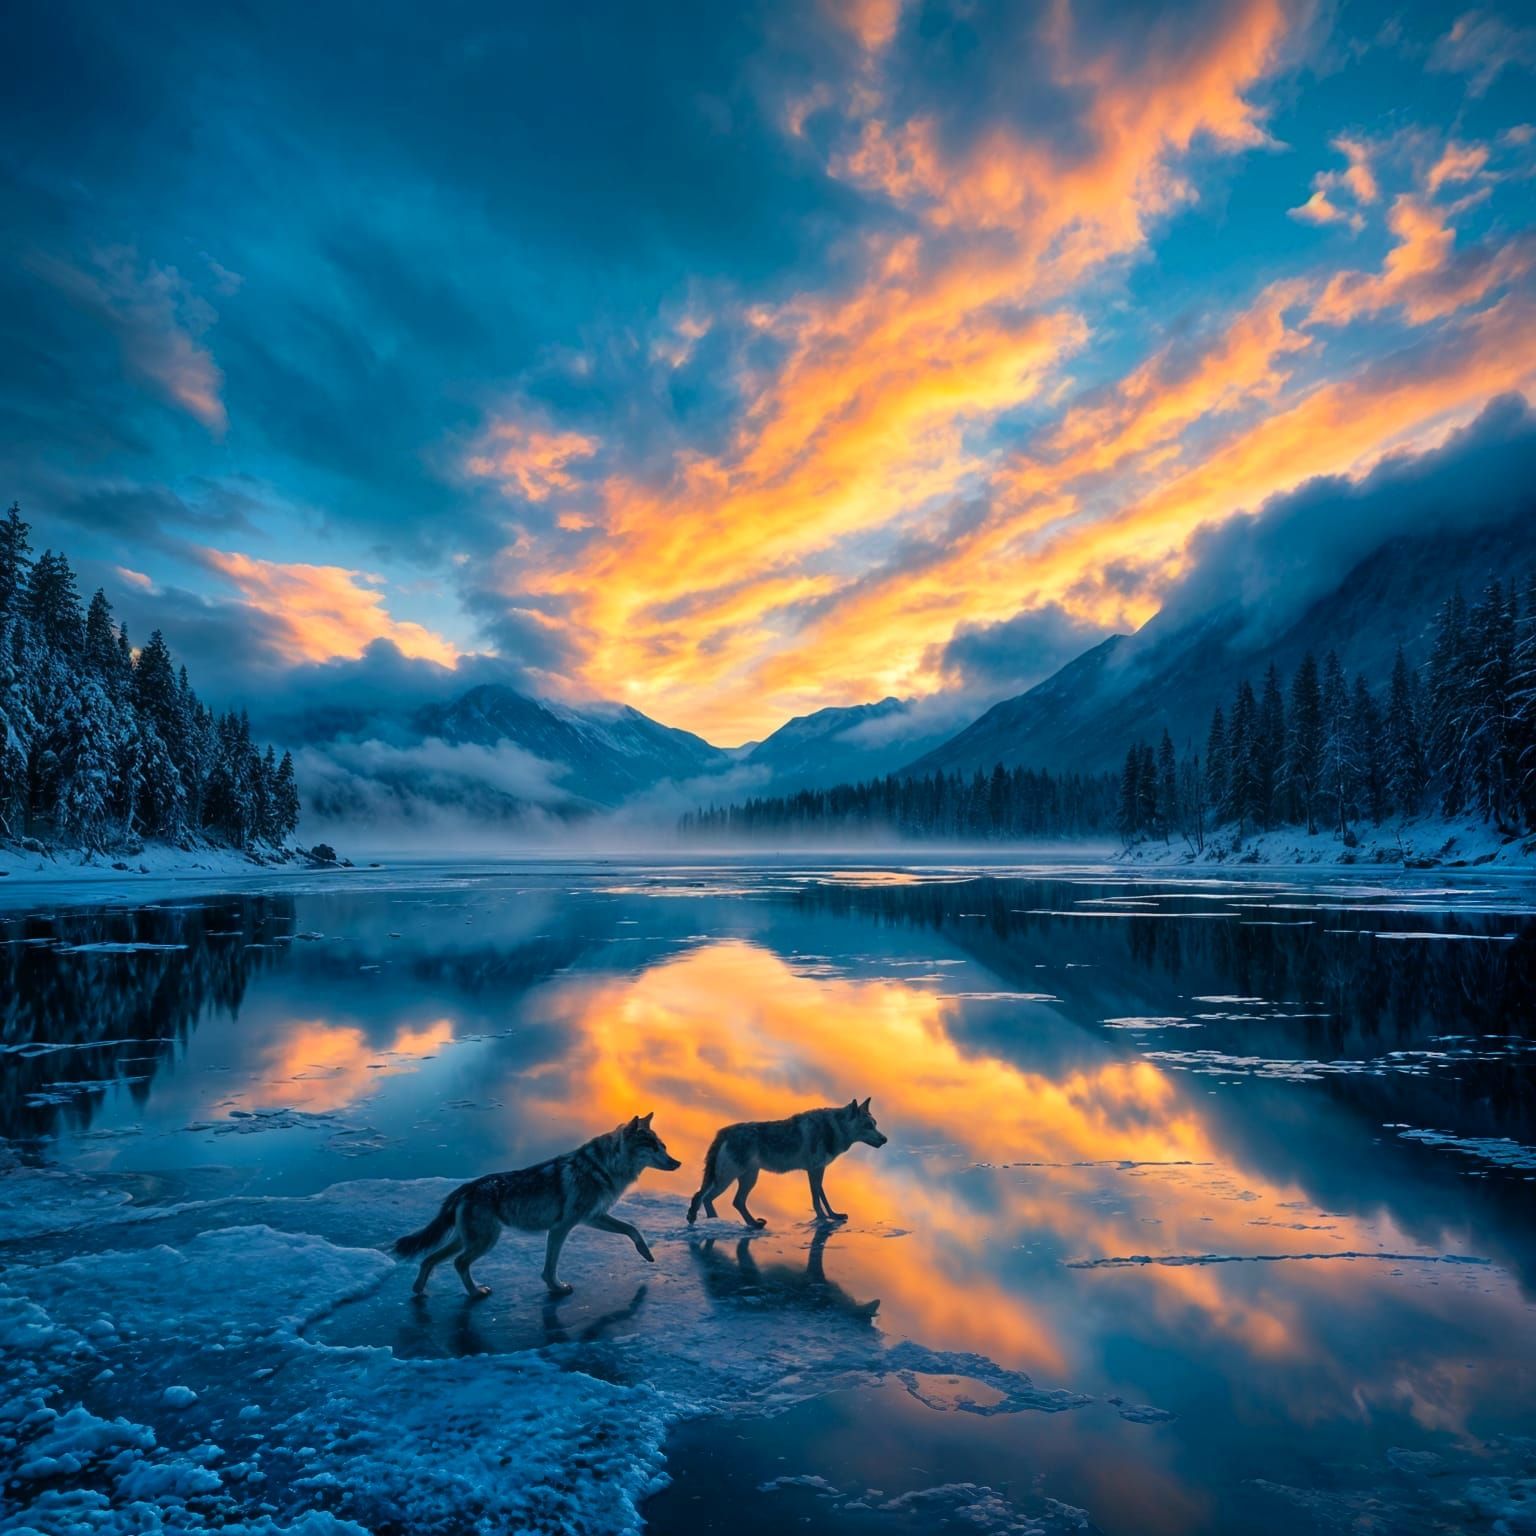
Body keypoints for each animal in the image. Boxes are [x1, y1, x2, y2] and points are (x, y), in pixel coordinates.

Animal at [393, 1113, 681, 1298]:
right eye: (654, 1148)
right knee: (458, 1263)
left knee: (430, 1259)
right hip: (484, 1241)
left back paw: (419, 1291)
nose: (678, 1163)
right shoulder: (562, 1227)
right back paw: (475, 1292)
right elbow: (550, 1265)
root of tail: (466, 1188)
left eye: (664, 1146)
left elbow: (632, 1229)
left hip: (467, 1240)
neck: (604, 1167)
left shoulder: (594, 1217)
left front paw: (646, 1254)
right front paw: (557, 1288)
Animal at [686, 1098, 887, 1228]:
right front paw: (822, 1219)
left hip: (739, 1178)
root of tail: (723, 1132)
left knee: (712, 1198)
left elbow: (823, 1197)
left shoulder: (818, 1170)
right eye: (868, 1126)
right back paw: (748, 1224)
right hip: (733, 1179)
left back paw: (720, 1222)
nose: (885, 1139)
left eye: (875, 1124)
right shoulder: (815, 1170)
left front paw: (833, 1216)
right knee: (712, 1198)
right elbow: (816, 1199)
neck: (833, 1129)